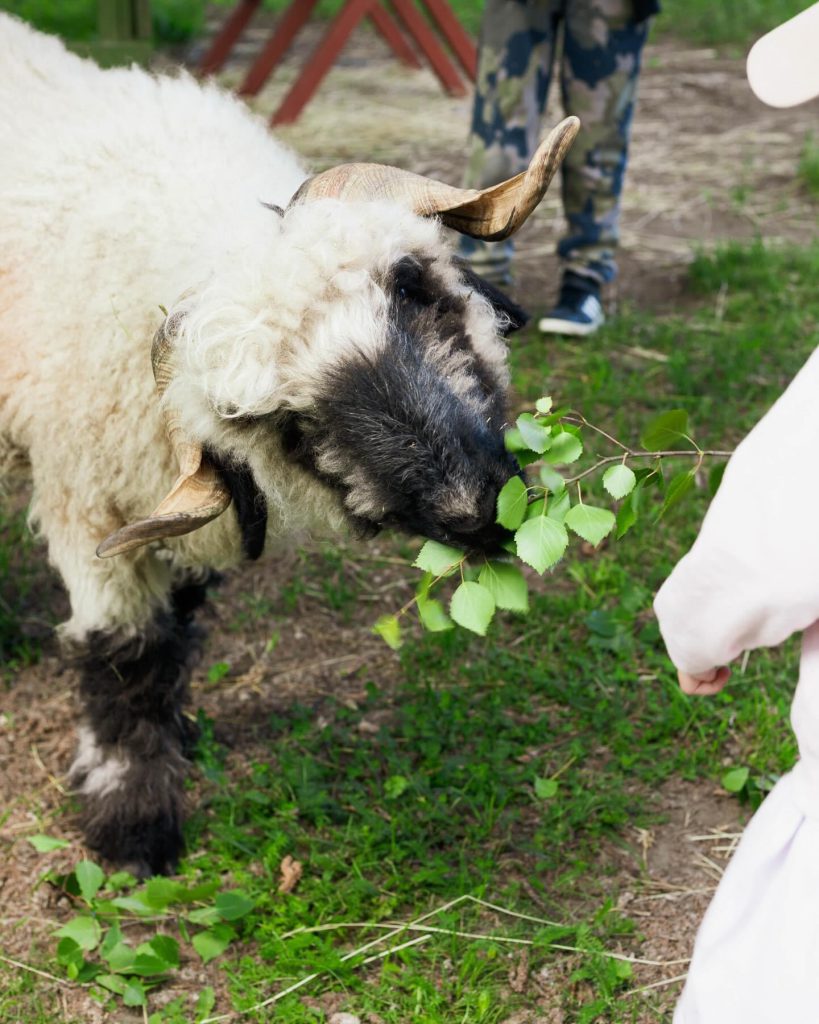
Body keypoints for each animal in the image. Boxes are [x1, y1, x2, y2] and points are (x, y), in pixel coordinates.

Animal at [0, 14, 577, 880]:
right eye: (283, 421)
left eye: (412, 285)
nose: (474, 512)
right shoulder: (88, 502)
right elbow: (125, 659)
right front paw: (132, 826)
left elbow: (176, 628)